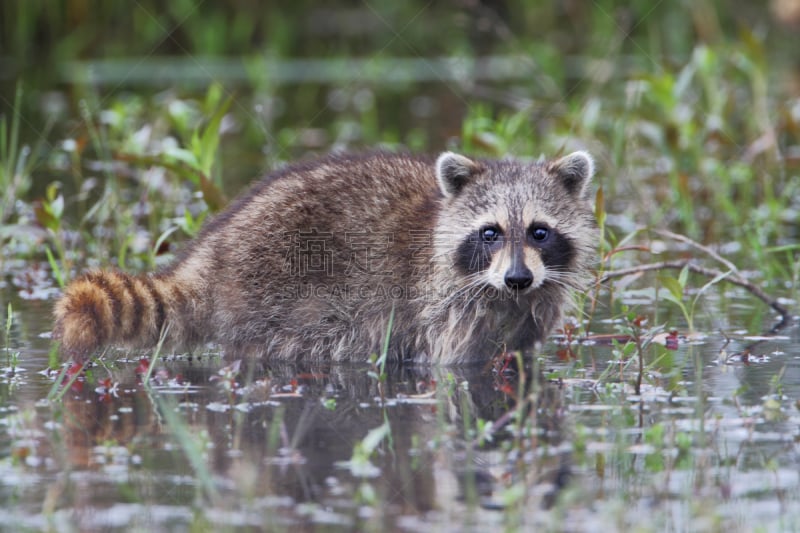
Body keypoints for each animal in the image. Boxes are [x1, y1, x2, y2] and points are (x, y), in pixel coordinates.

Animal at [53, 152, 596, 364]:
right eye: (490, 233)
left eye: (540, 232)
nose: (518, 278)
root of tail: (213, 251)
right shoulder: (442, 305)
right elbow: (454, 363)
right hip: (275, 288)